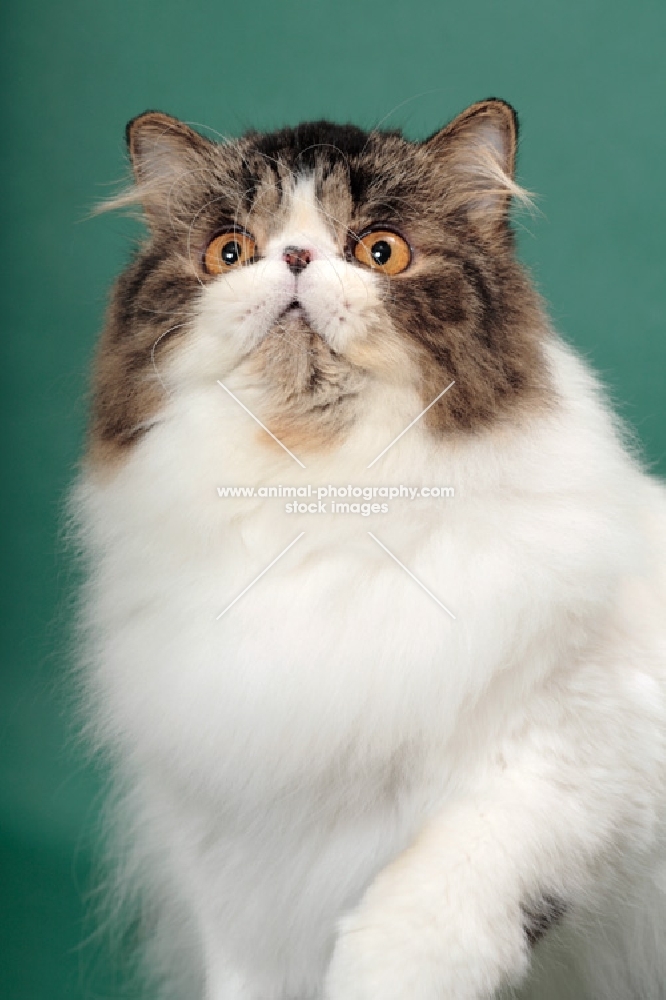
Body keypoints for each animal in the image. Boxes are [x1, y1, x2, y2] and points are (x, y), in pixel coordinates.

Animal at [75, 99, 664, 1000]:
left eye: (380, 251)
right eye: (228, 252)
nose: (294, 257)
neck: (315, 499)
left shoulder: (576, 756)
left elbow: (429, 902)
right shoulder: (229, 850)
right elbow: (247, 971)